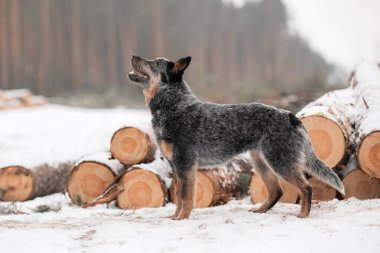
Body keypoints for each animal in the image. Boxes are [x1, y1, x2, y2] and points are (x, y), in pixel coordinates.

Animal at [128, 54, 344, 219]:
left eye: (155, 63)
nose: (133, 55)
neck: (174, 106)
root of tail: (290, 115)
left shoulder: (186, 165)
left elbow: (185, 197)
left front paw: (182, 218)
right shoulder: (177, 166)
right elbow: (179, 197)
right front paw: (175, 217)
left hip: (280, 162)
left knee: (306, 187)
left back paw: (303, 215)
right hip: (262, 163)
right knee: (277, 191)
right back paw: (260, 211)